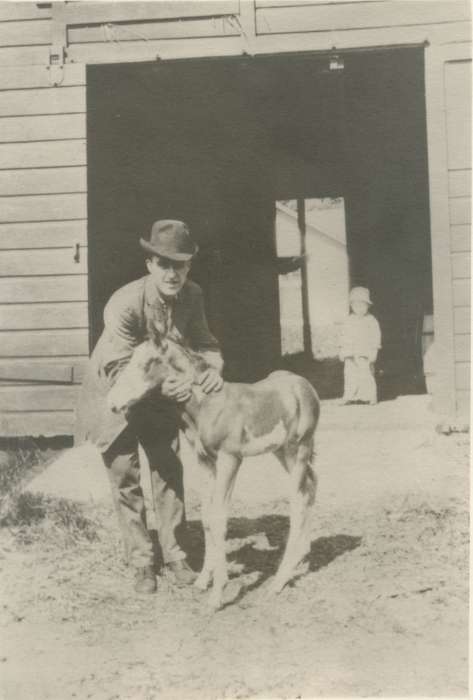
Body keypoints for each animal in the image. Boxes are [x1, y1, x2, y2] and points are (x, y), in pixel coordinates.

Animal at [109, 330, 318, 608]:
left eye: (146, 363)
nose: (113, 403)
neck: (208, 404)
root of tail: (307, 387)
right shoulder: (204, 460)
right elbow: (208, 517)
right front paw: (202, 581)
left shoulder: (230, 458)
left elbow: (219, 518)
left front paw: (217, 595)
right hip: (282, 452)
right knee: (309, 486)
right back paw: (301, 559)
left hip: (300, 448)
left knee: (297, 501)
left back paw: (278, 582)